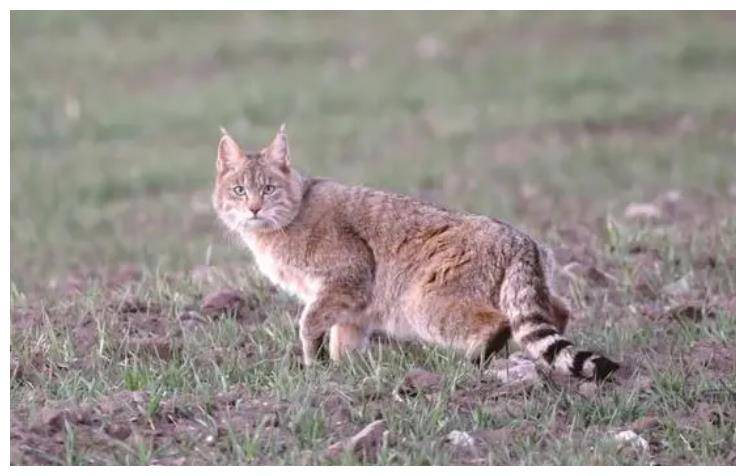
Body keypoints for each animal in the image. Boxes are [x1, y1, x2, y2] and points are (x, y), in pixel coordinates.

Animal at [212, 124, 620, 382]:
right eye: (238, 190)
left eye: (267, 188)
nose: (253, 208)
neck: (291, 214)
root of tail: (521, 240)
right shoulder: (353, 305)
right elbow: (344, 338)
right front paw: (345, 371)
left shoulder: (347, 276)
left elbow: (310, 321)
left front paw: (315, 364)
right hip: (529, 291)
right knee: (557, 313)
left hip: (423, 302)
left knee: (498, 323)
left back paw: (476, 360)